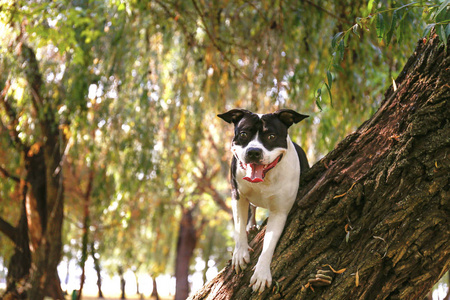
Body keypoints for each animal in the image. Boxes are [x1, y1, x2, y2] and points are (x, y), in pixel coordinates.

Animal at [218, 108, 310, 292]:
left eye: (271, 136)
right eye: (244, 134)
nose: (254, 151)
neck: (265, 178)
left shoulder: (280, 212)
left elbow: (269, 243)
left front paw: (261, 273)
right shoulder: (238, 196)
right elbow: (238, 227)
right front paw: (240, 253)